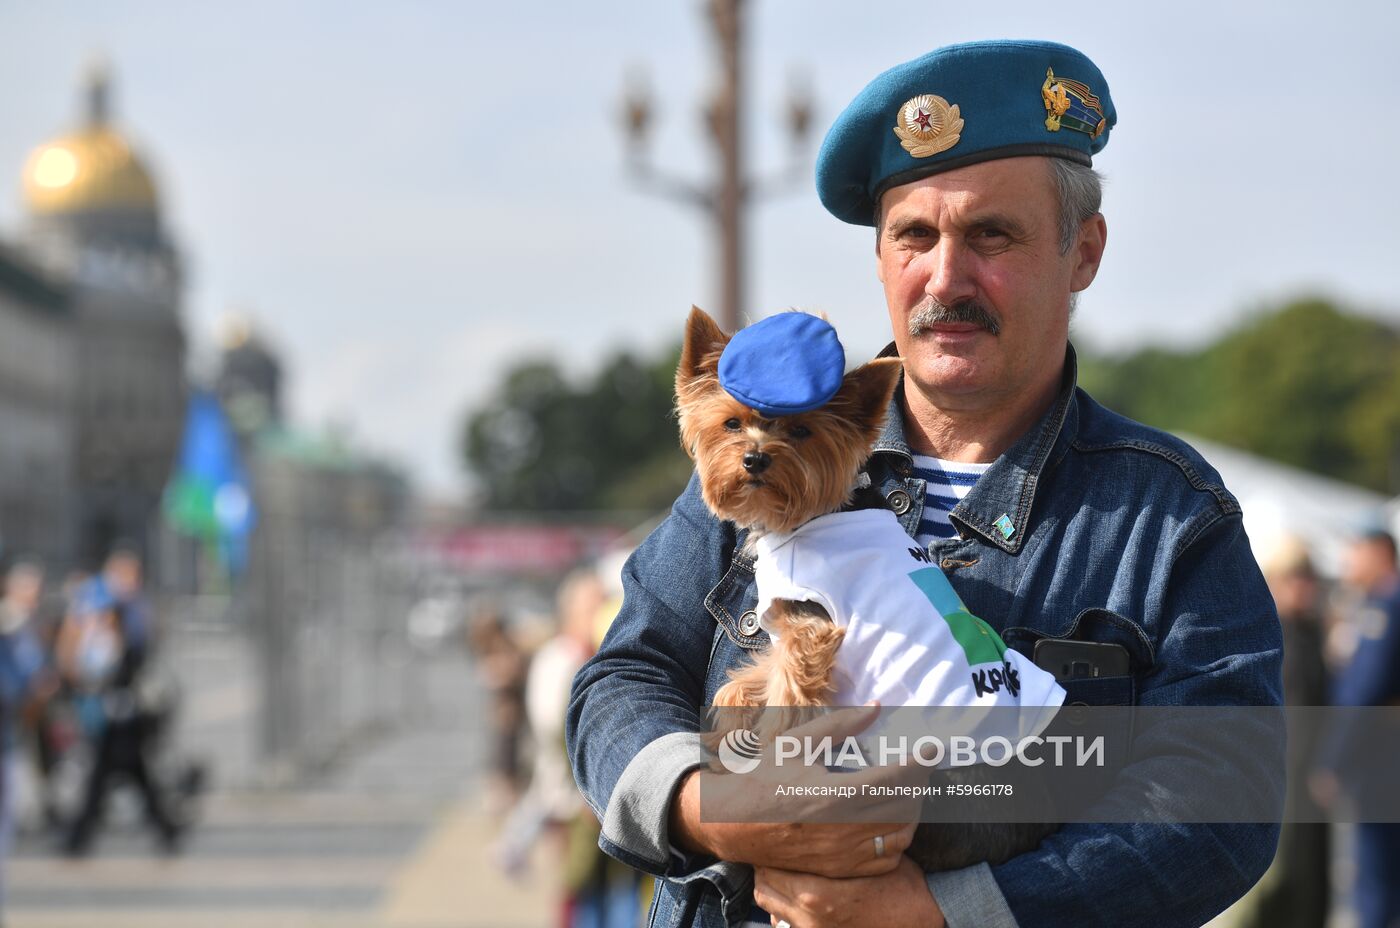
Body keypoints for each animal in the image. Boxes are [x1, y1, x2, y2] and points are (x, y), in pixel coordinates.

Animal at [672, 306, 1052, 873]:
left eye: (802, 430)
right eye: (731, 423)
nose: (755, 459)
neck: (811, 513)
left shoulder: (811, 628)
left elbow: (789, 697)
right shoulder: (789, 624)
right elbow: (753, 677)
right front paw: (733, 714)